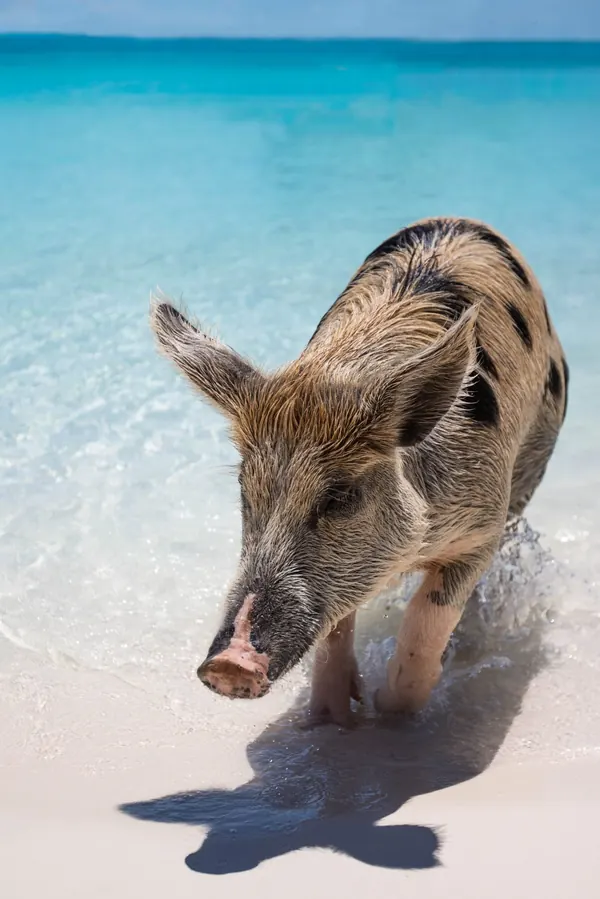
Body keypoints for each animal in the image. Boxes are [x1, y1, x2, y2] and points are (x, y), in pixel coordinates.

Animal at [150, 216, 568, 727]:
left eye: (339, 497)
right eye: (246, 492)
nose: (229, 664)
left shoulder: (482, 523)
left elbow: (430, 616)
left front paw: (387, 706)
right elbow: (336, 626)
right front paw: (334, 714)